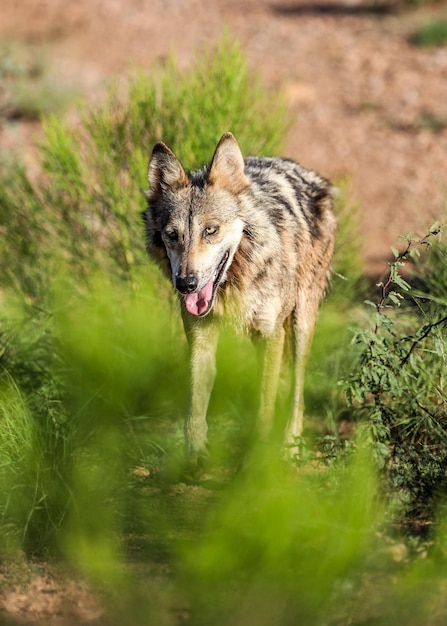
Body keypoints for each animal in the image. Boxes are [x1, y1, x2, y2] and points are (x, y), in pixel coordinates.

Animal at [144, 133, 336, 464]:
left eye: (211, 230)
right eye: (172, 235)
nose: (186, 284)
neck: (235, 283)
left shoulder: (269, 335)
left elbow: (264, 406)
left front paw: (258, 458)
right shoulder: (200, 336)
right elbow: (195, 405)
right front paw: (195, 457)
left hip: (300, 323)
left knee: (297, 390)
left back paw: (290, 443)